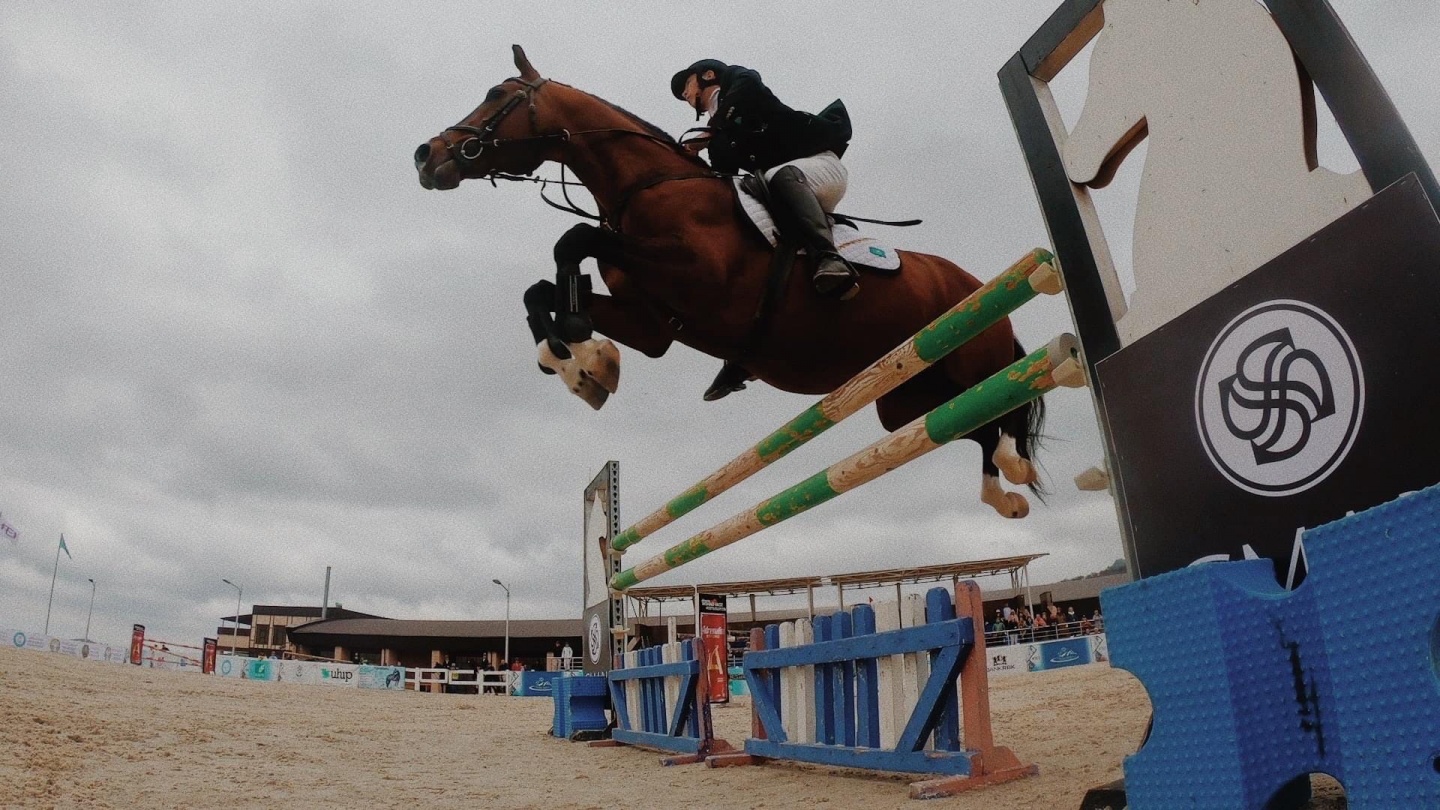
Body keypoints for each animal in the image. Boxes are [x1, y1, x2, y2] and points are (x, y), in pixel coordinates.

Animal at [417, 45, 1048, 515]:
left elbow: (571, 242)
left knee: (1005, 407)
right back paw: (1004, 489)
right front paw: (580, 365)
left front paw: (579, 346)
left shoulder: (699, 280)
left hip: (968, 362)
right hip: (907, 398)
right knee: (973, 422)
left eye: (497, 96)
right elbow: (542, 289)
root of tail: (973, 282)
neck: (647, 188)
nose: (426, 155)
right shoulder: (654, 325)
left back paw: (1014, 466)